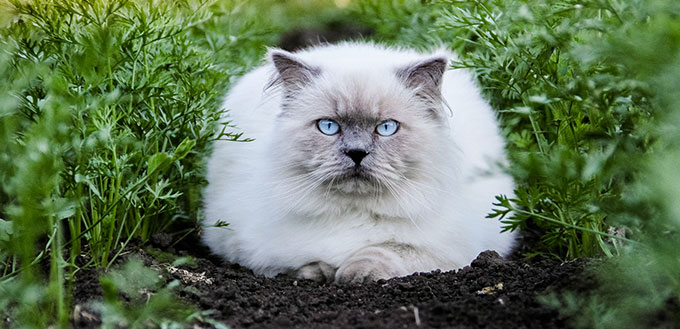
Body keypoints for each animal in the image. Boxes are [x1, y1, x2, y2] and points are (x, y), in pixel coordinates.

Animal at [202, 40, 516, 282]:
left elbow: (384, 250)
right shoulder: (250, 248)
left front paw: (353, 275)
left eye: (386, 128)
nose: (356, 153)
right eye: (329, 127)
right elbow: (303, 264)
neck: (354, 212)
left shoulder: (445, 252)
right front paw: (322, 273)